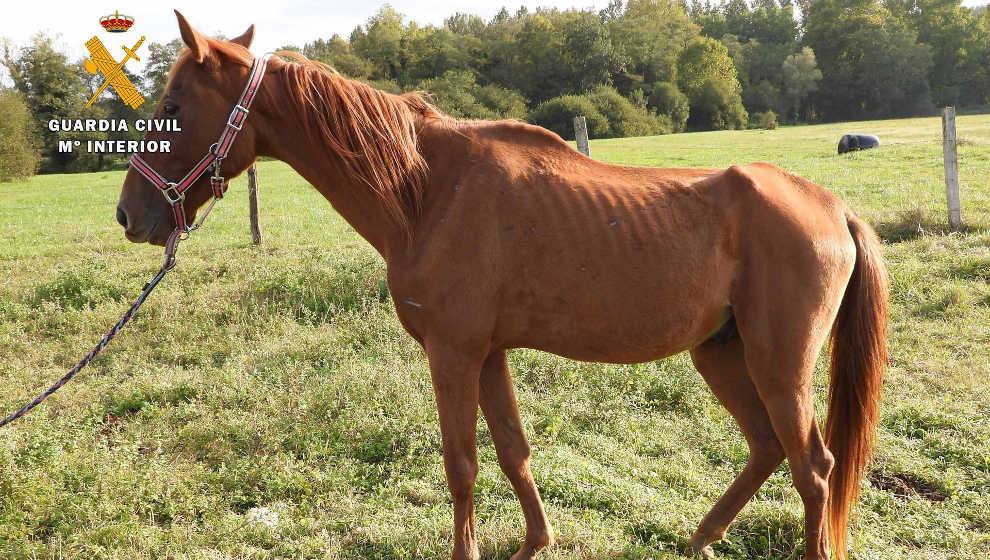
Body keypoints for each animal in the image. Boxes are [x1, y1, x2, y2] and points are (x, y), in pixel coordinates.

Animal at [118, 13, 892, 560]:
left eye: (172, 107)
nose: (130, 214)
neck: (425, 190)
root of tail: (831, 206)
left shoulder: (453, 354)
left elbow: (461, 464)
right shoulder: (488, 355)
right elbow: (513, 452)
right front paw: (533, 544)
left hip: (777, 363)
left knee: (813, 466)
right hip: (721, 353)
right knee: (767, 448)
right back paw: (700, 538)